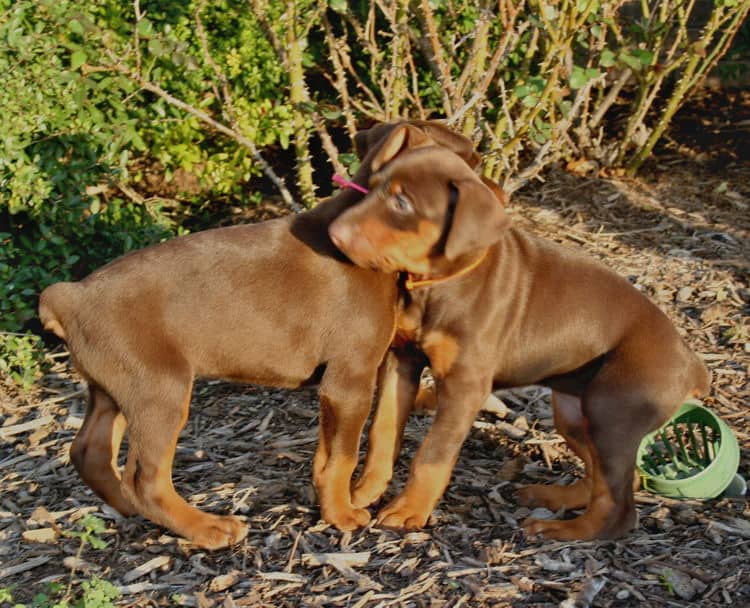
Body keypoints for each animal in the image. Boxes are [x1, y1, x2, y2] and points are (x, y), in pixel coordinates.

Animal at [36, 121, 482, 548]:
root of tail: (69, 297)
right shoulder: (350, 378)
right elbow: (342, 457)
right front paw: (342, 516)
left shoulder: (337, 390)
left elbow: (324, 459)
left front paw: (327, 505)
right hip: (159, 389)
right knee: (146, 479)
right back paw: (207, 528)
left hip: (114, 387)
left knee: (89, 451)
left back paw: (129, 509)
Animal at [328, 124, 712, 540]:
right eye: (372, 186)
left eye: (402, 204)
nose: (333, 232)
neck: (438, 284)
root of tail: (692, 362)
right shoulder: (403, 360)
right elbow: (383, 430)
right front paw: (363, 491)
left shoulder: (466, 385)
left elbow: (432, 454)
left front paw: (409, 510)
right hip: (575, 412)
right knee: (609, 478)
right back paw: (554, 498)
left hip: (613, 412)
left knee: (620, 506)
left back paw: (563, 531)